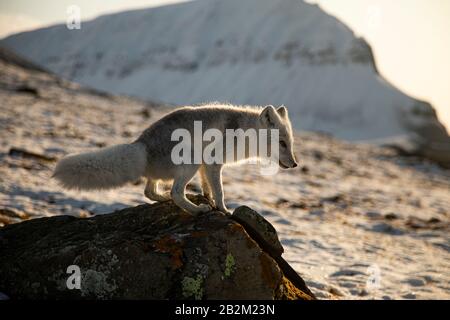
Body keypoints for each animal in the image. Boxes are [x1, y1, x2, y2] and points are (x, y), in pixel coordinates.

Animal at [52, 105, 298, 214]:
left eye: (290, 143)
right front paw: (223, 210)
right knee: (176, 192)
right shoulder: (211, 162)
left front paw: (208, 198)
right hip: (190, 161)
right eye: (282, 143)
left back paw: (164, 200)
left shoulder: (206, 166)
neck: (244, 132)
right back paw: (197, 210)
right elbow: (220, 191)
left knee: (150, 191)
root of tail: (141, 144)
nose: (295, 164)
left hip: (183, 167)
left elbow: (208, 186)